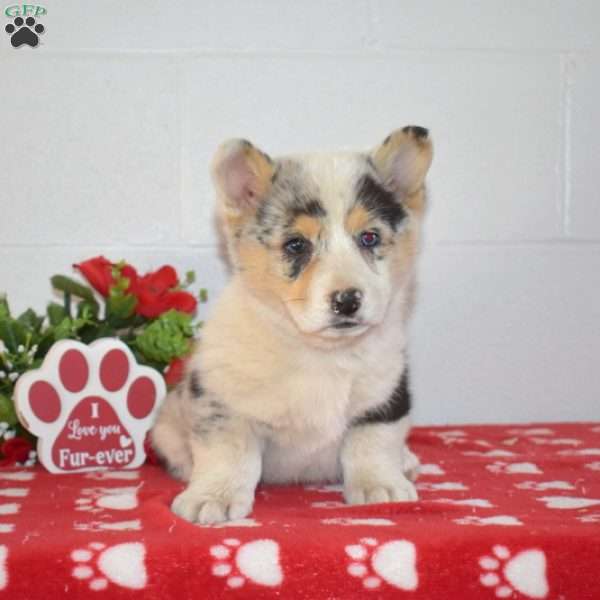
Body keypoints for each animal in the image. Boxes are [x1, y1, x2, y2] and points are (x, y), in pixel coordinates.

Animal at [150, 126, 432, 524]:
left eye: (370, 237)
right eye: (297, 244)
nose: (347, 300)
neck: (319, 352)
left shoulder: (385, 395)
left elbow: (372, 443)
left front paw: (381, 486)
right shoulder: (222, 401)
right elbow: (230, 454)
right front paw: (213, 497)